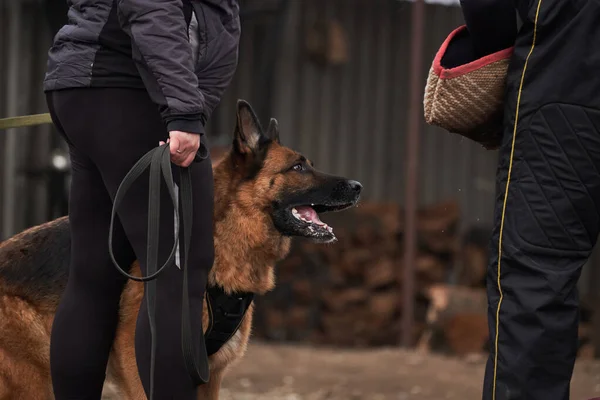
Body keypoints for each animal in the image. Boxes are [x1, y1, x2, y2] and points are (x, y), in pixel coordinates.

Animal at [0, 101, 364, 400]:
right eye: (298, 168)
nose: (358, 186)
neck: (225, 238)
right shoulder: (143, 365)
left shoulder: (210, 375)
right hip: (35, 381)